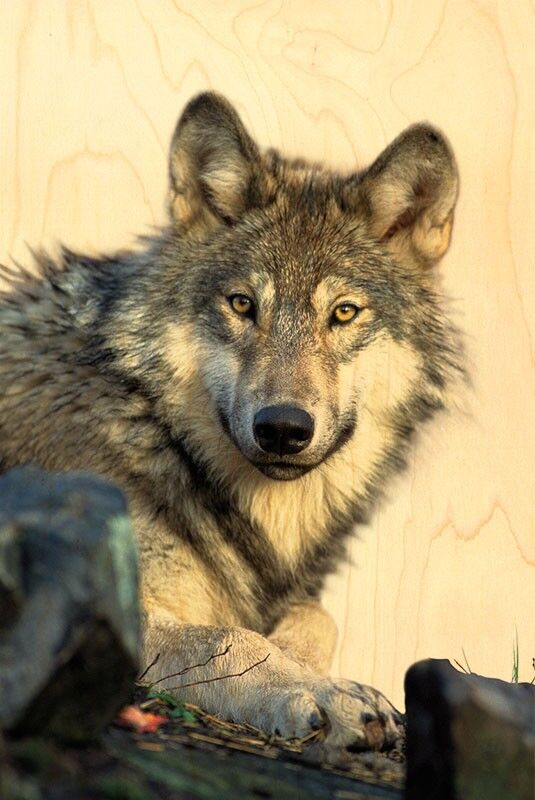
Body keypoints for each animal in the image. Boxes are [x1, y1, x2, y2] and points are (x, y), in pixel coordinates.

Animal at [0, 92, 463, 764]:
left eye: (343, 313)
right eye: (243, 305)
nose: (283, 429)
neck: (156, 430)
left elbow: (317, 617)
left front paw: (314, 670)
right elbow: (229, 639)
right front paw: (323, 693)